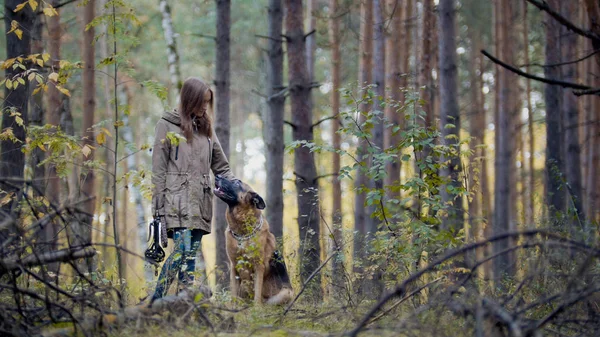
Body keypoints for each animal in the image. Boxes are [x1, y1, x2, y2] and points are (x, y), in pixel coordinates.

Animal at [213, 176, 292, 304]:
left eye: (237, 182)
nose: (217, 176)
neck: (242, 234)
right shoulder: (234, 267)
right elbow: (233, 295)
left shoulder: (258, 267)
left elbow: (257, 296)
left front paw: (256, 308)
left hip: (286, 293)